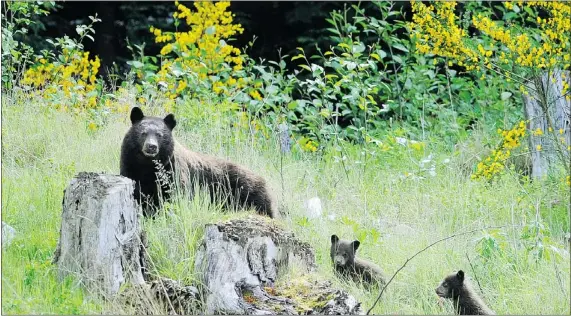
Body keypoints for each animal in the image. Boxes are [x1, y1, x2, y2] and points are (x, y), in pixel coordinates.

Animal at [122, 106, 278, 217]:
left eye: (160, 135)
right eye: (143, 133)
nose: (151, 146)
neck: (147, 166)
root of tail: (265, 181)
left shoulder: (173, 170)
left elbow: (176, 196)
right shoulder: (130, 167)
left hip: (248, 192)